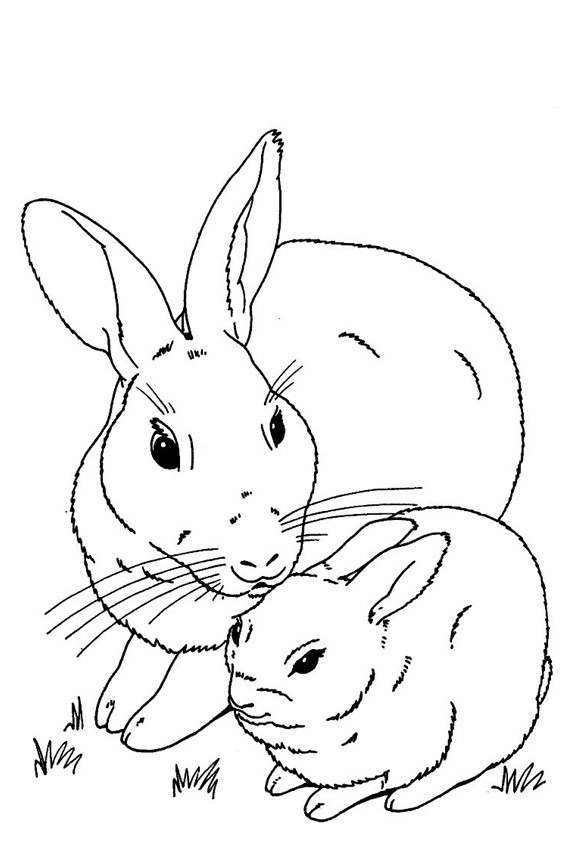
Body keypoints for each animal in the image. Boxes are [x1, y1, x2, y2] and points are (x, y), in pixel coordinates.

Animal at [23, 130, 523, 751]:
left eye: (278, 424)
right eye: (162, 448)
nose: (263, 557)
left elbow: (210, 676)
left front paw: (144, 728)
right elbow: (142, 652)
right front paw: (112, 706)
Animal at [227, 507, 551, 820]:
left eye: (308, 661)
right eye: (236, 630)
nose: (240, 700)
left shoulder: (414, 749)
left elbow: (372, 783)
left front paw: (321, 803)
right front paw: (280, 779)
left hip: (480, 716)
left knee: (463, 766)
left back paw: (405, 799)